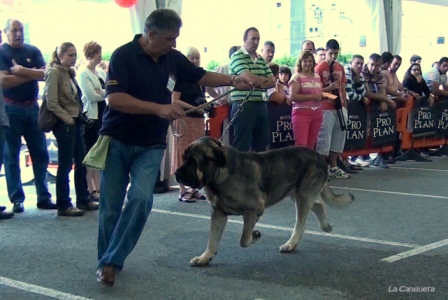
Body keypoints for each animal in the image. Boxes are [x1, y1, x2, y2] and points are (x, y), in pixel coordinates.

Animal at [175, 137, 354, 266]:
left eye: (192, 160)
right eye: (184, 158)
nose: (176, 174)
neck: (221, 174)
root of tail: (320, 157)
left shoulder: (253, 210)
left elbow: (244, 239)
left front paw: (255, 235)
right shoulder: (218, 214)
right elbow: (212, 240)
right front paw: (205, 257)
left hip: (303, 194)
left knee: (301, 222)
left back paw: (291, 244)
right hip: (295, 193)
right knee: (317, 205)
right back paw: (324, 226)